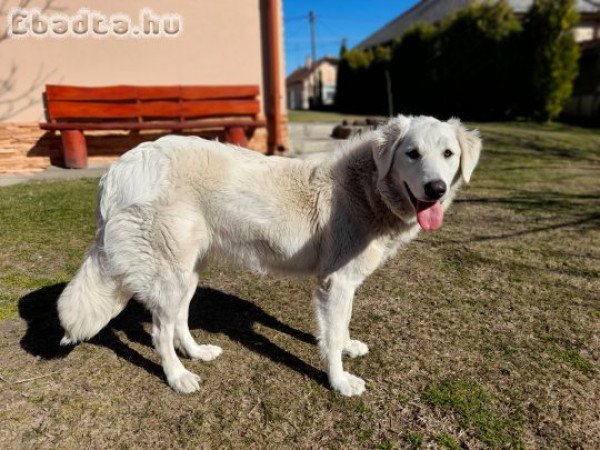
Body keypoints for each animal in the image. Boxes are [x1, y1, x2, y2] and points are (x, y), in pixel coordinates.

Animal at [57, 116, 482, 398]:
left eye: (448, 154)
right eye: (412, 154)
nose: (437, 188)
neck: (368, 187)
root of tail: (116, 169)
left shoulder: (340, 284)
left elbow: (339, 327)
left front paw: (348, 347)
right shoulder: (335, 283)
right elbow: (330, 337)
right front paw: (340, 380)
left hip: (187, 272)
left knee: (178, 320)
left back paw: (197, 354)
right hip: (170, 272)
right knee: (160, 331)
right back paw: (178, 378)